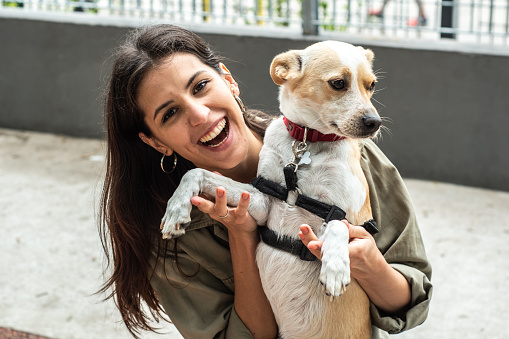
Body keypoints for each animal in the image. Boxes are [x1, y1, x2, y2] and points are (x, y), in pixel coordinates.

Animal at [162, 41, 380, 338]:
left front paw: (335, 268)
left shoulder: (348, 214)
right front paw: (176, 210)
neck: (306, 143)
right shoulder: (262, 201)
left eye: (371, 85)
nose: (375, 123)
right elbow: (196, 172)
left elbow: (338, 224)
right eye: (338, 83)